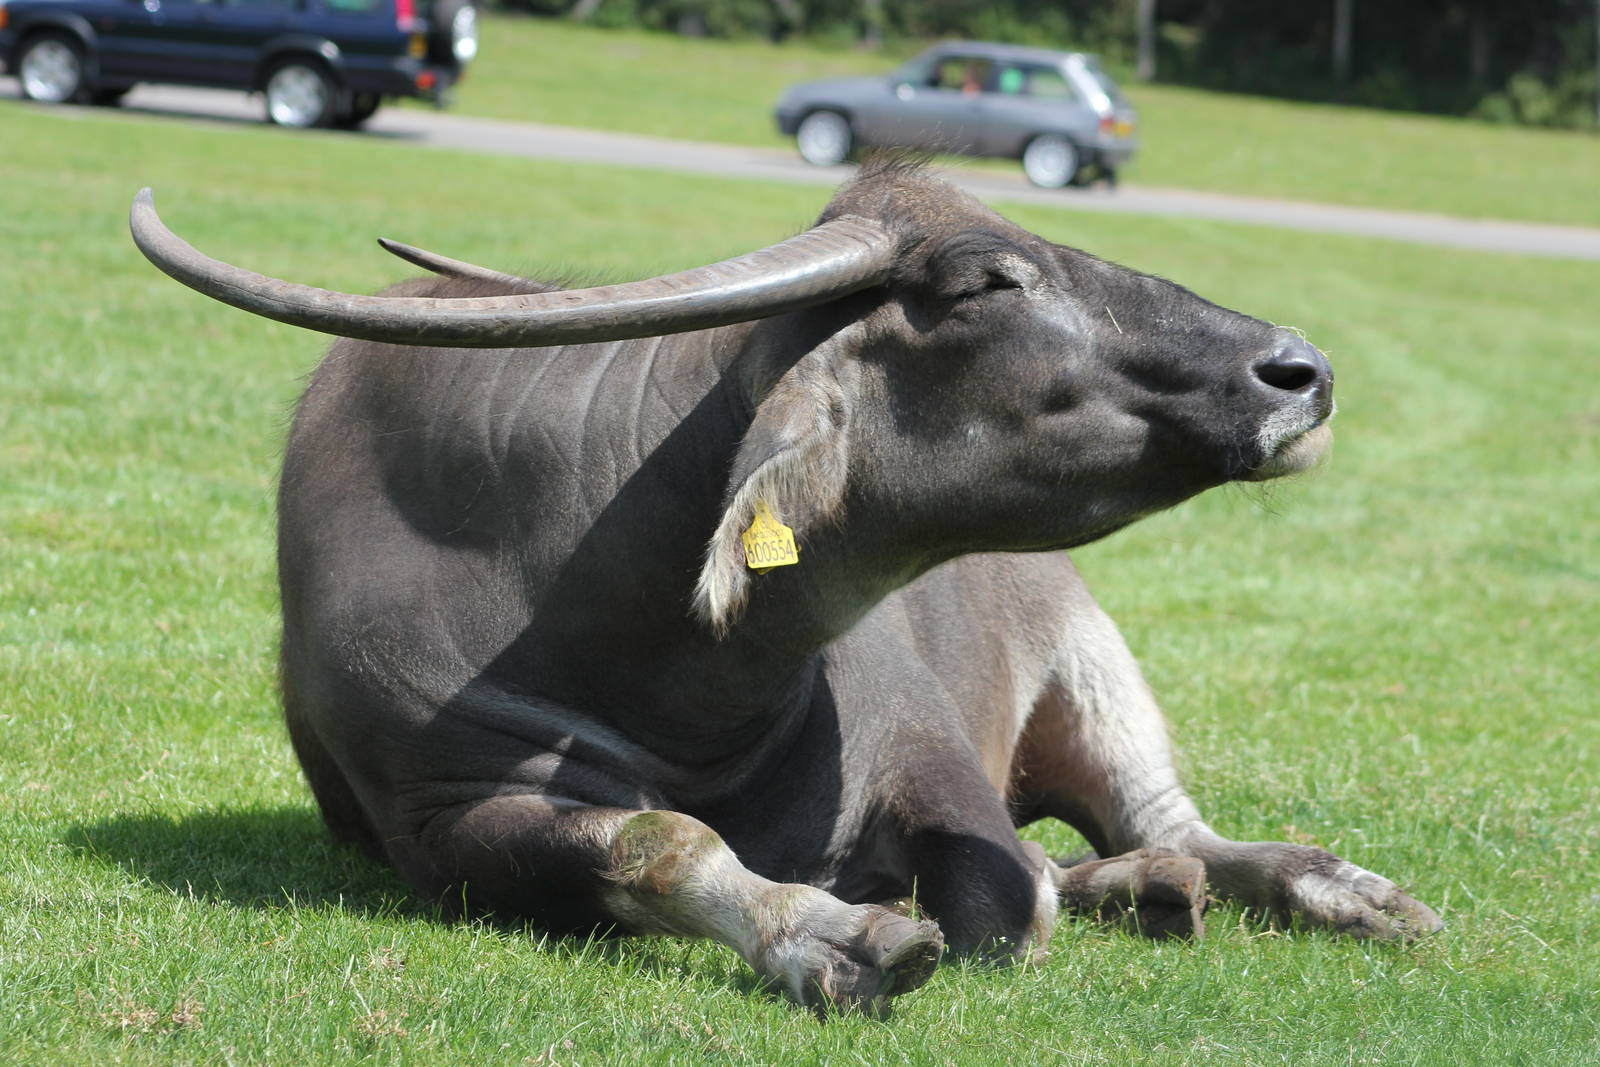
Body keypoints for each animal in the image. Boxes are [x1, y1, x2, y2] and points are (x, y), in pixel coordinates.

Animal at [130, 161, 1440, 1016]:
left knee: (1170, 824)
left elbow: (1007, 896)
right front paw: (830, 931)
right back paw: (1150, 888)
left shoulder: (922, 742)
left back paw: (1330, 885)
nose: (1297, 371)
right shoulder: (445, 818)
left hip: (1091, 660)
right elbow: (660, 840)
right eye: (988, 281)